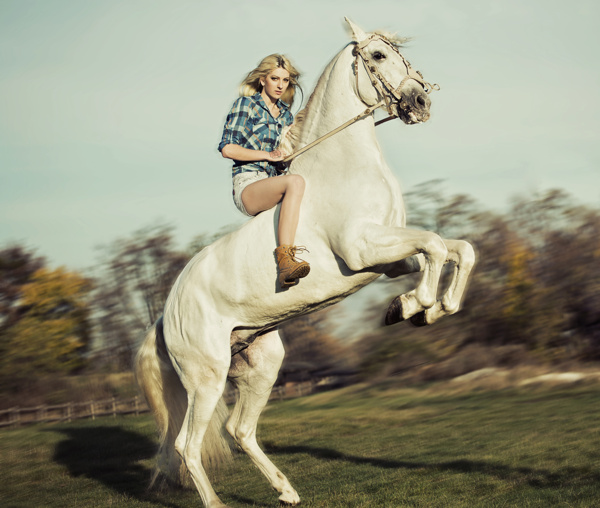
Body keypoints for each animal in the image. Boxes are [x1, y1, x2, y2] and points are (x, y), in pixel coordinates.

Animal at [135, 18, 474, 508]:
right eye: (377, 56)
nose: (421, 102)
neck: (342, 166)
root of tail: (165, 314)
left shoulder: (389, 259)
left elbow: (456, 248)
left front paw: (430, 308)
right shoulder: (363, 249)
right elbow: (434, 244)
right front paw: (413, 307)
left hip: (260, 364)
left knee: (239, 429)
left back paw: (287, 492)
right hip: (206, 377)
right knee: (188, 445)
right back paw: (221, 500)